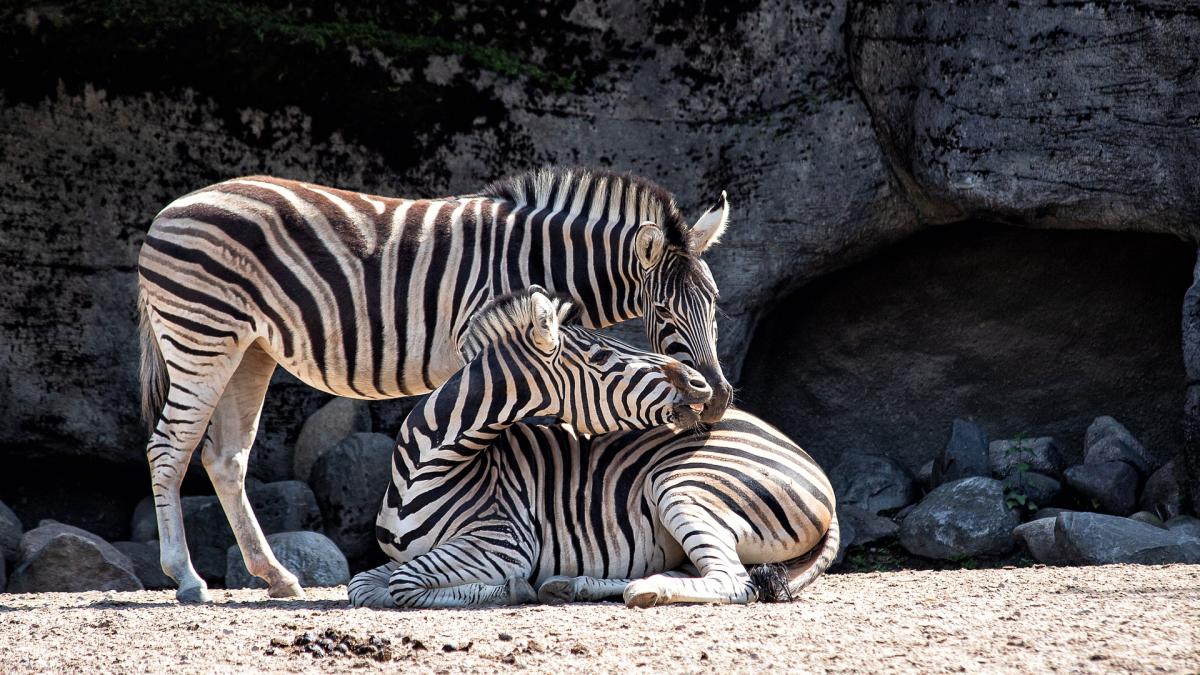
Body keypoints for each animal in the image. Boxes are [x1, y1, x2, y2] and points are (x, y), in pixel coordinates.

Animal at [137, 166, 733, 602]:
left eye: (715, 303)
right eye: (664, 313)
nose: (718, 399)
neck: (541, 259)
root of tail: (169, 210)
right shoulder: (486, 343)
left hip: (249, 349)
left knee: (225, 458)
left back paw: (276, 576)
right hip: (201, 336)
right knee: (169, 449)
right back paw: (187, 578)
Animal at [349, 288, 838, 609]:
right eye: (603, 357)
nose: (702, 385)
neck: (426, 465)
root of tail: (816, 469)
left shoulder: (504, 543)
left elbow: (402, 585)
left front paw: (511, 589)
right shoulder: (404, 557)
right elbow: (364, 585)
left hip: (683, 485)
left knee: (735, 582)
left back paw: (641, 590)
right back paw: (574, 585)